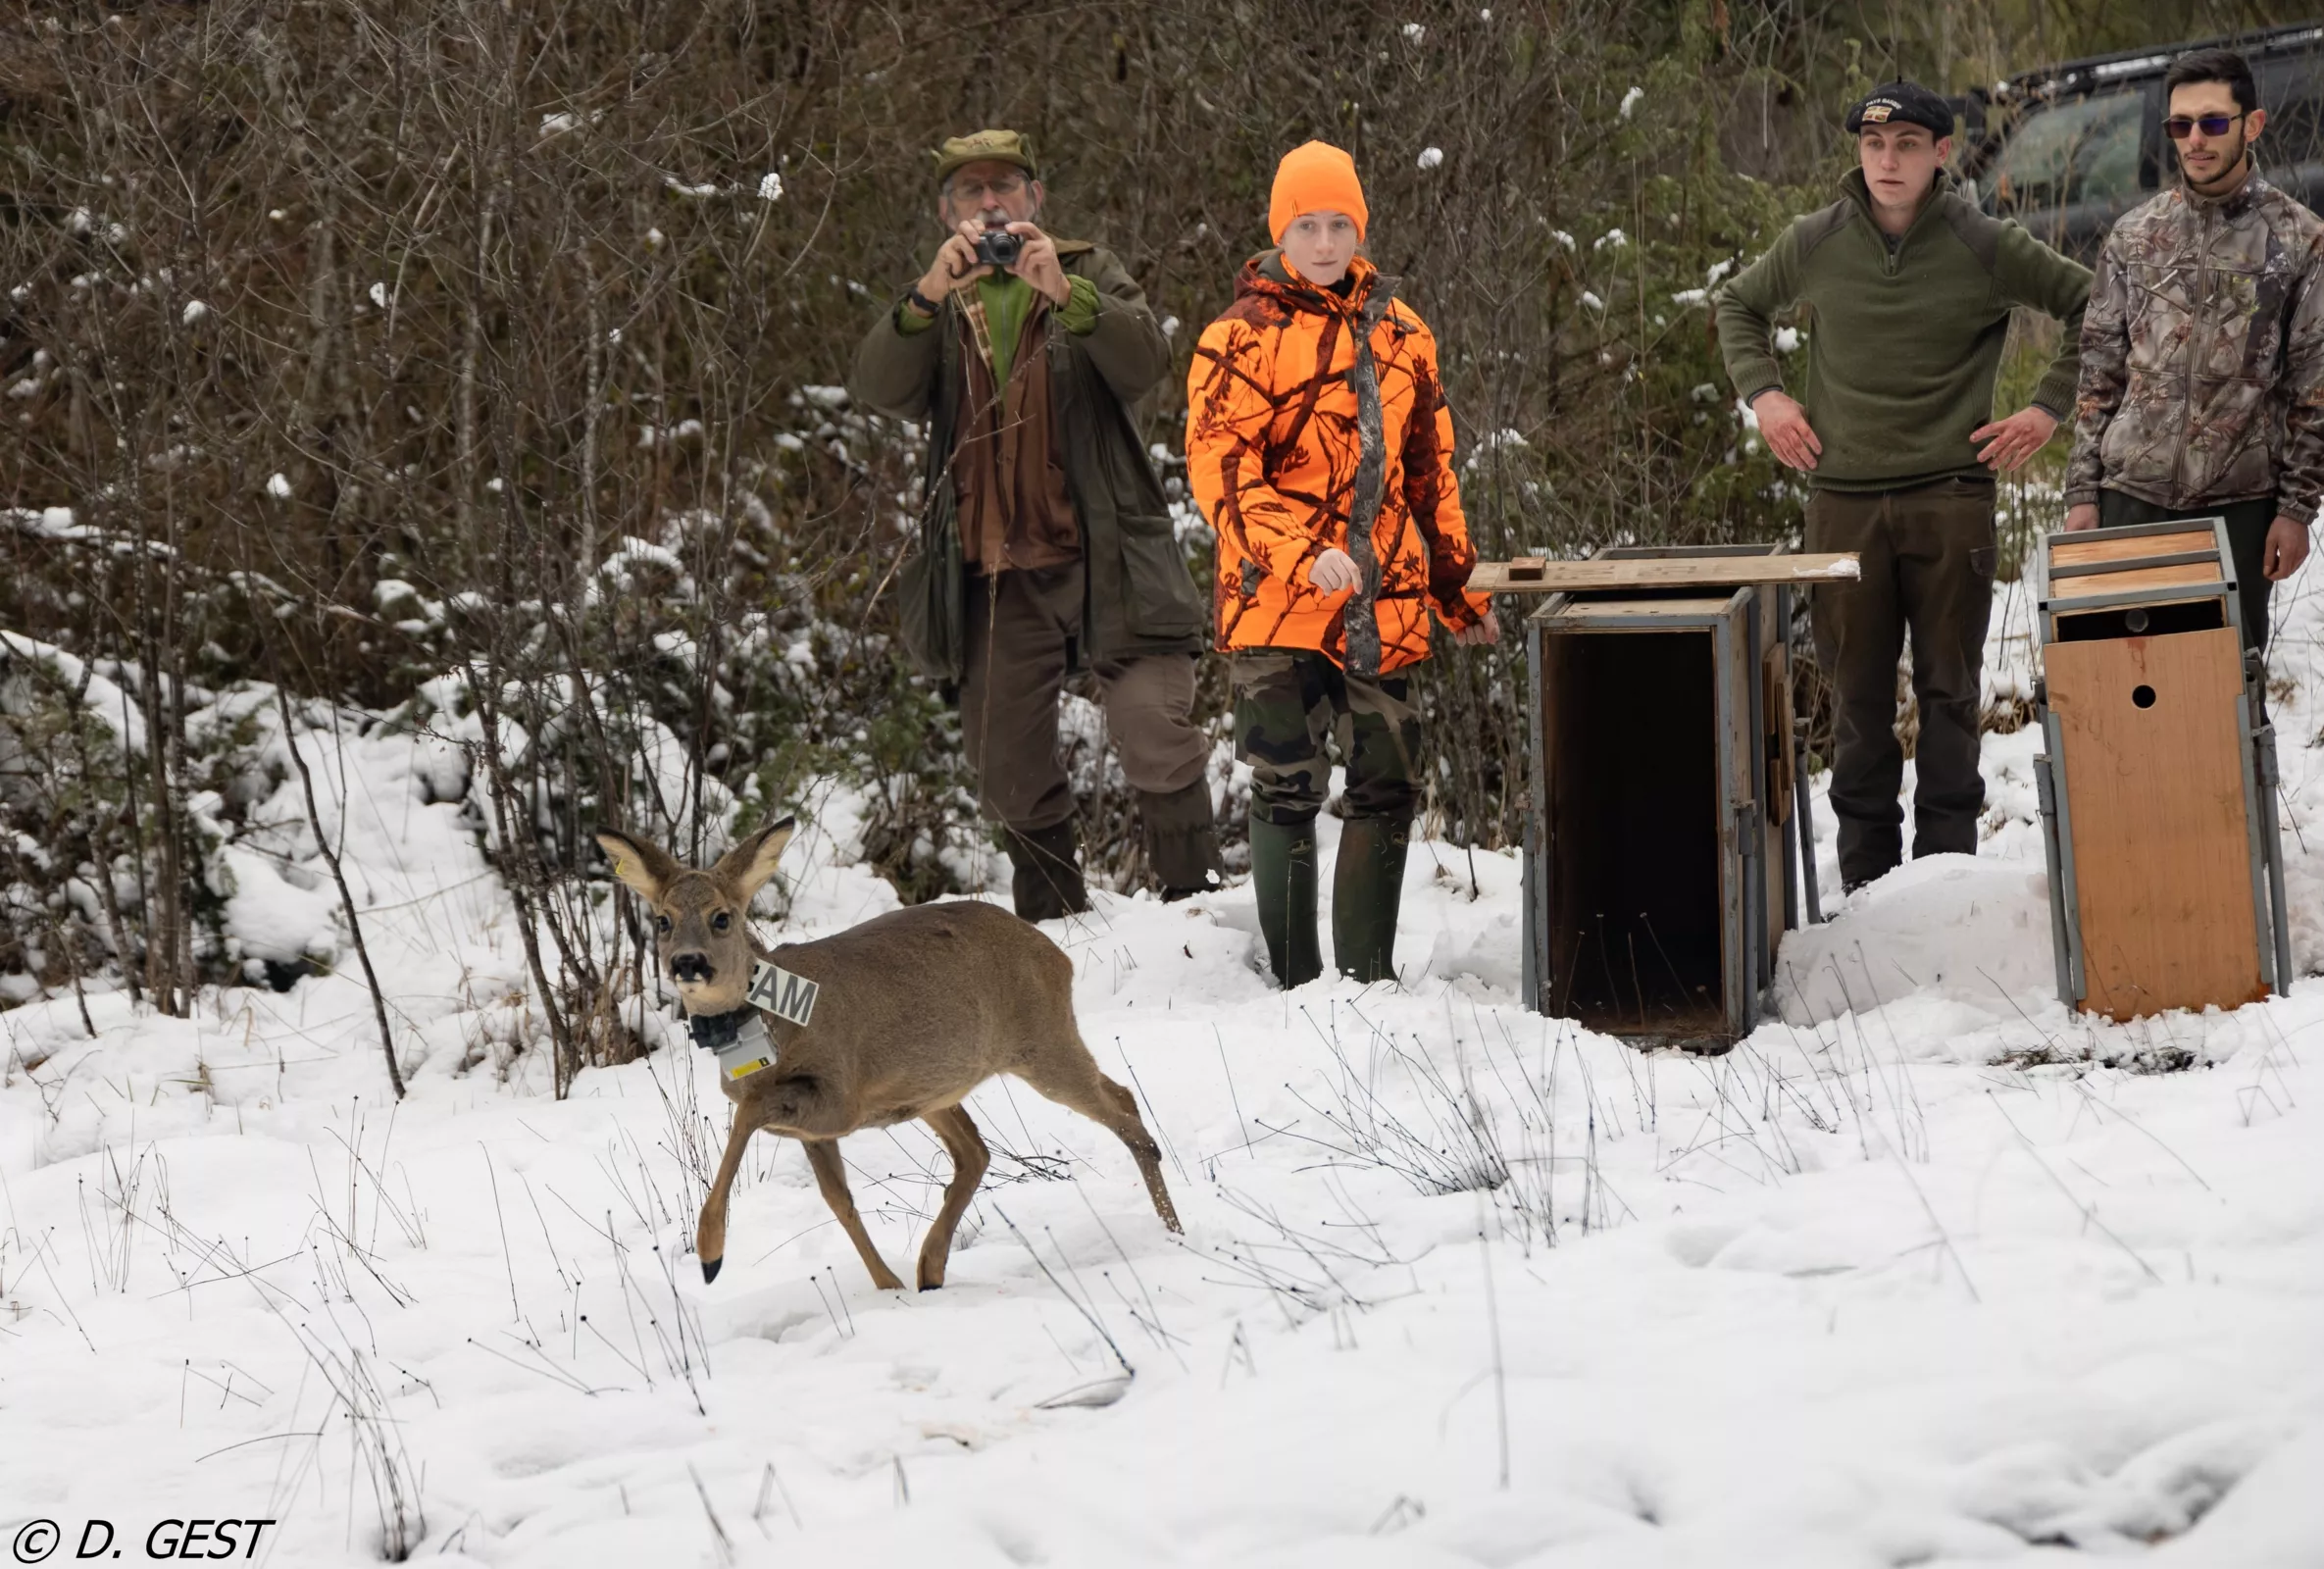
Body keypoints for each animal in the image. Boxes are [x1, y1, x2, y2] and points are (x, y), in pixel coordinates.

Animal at [599, 823, 1180, 1291]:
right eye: (663, 920)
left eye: (722, 917)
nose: (687, 963)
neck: (772, 1029)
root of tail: (1057, 956)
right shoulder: (816, 1127)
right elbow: (838, 1198)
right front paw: (888, 1286)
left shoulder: (840, 1098)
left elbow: (747, 1116)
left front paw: (711, 1253)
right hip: (934, 1088)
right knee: (977, 1152)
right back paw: (930, 1268)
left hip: (1044, 1042)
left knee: (1122, 1105)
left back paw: (1173, 1230)